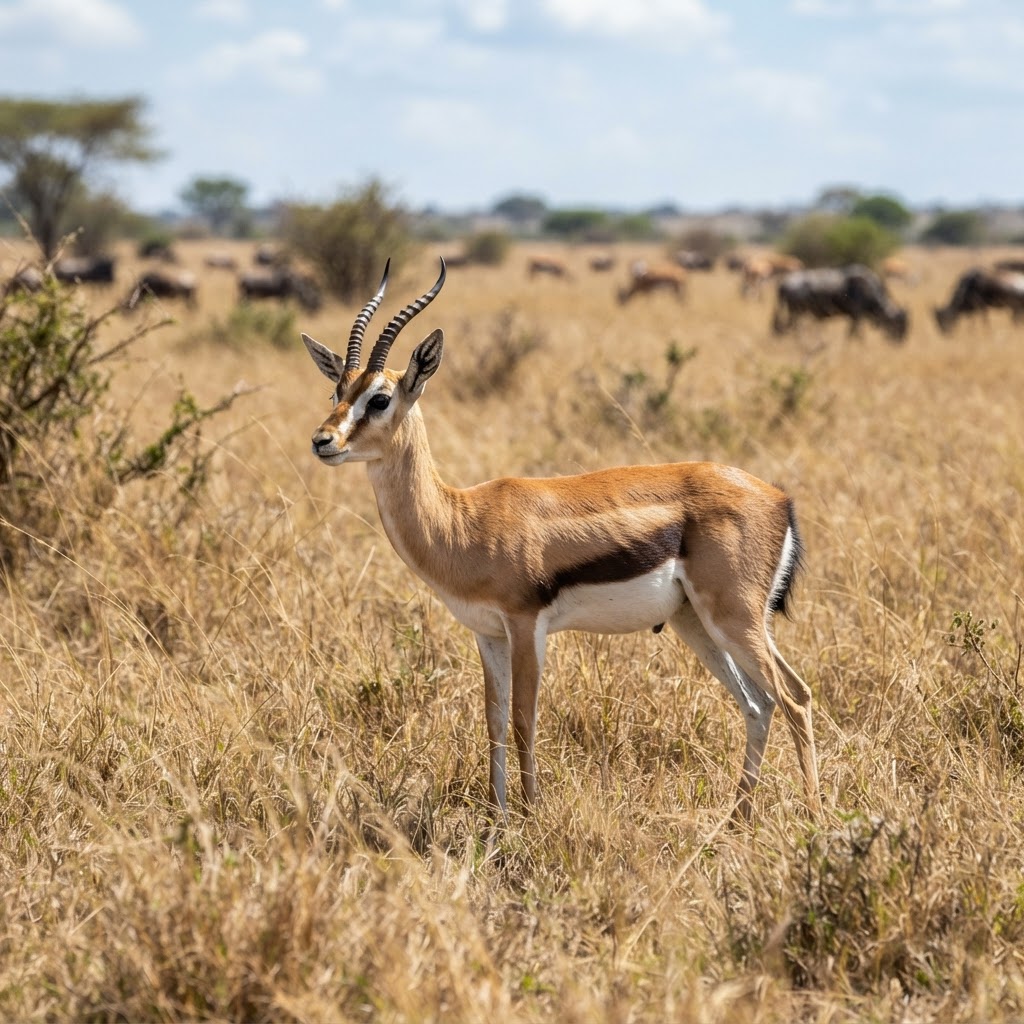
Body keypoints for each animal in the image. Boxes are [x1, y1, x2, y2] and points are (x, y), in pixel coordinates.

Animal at [302, 259, 821, 822]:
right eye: (336, 393)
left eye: (379, 398)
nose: (322, 441)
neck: (464, 521)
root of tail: (779, 499)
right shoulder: (487, 634)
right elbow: (494, 723)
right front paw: (498, 820)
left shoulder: (527, 625)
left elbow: (524, 721)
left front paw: (530, 819)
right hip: (697, 622)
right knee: (759, 703)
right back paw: (736, 818)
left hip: (734, 618)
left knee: (795, 698)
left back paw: (814, 818)